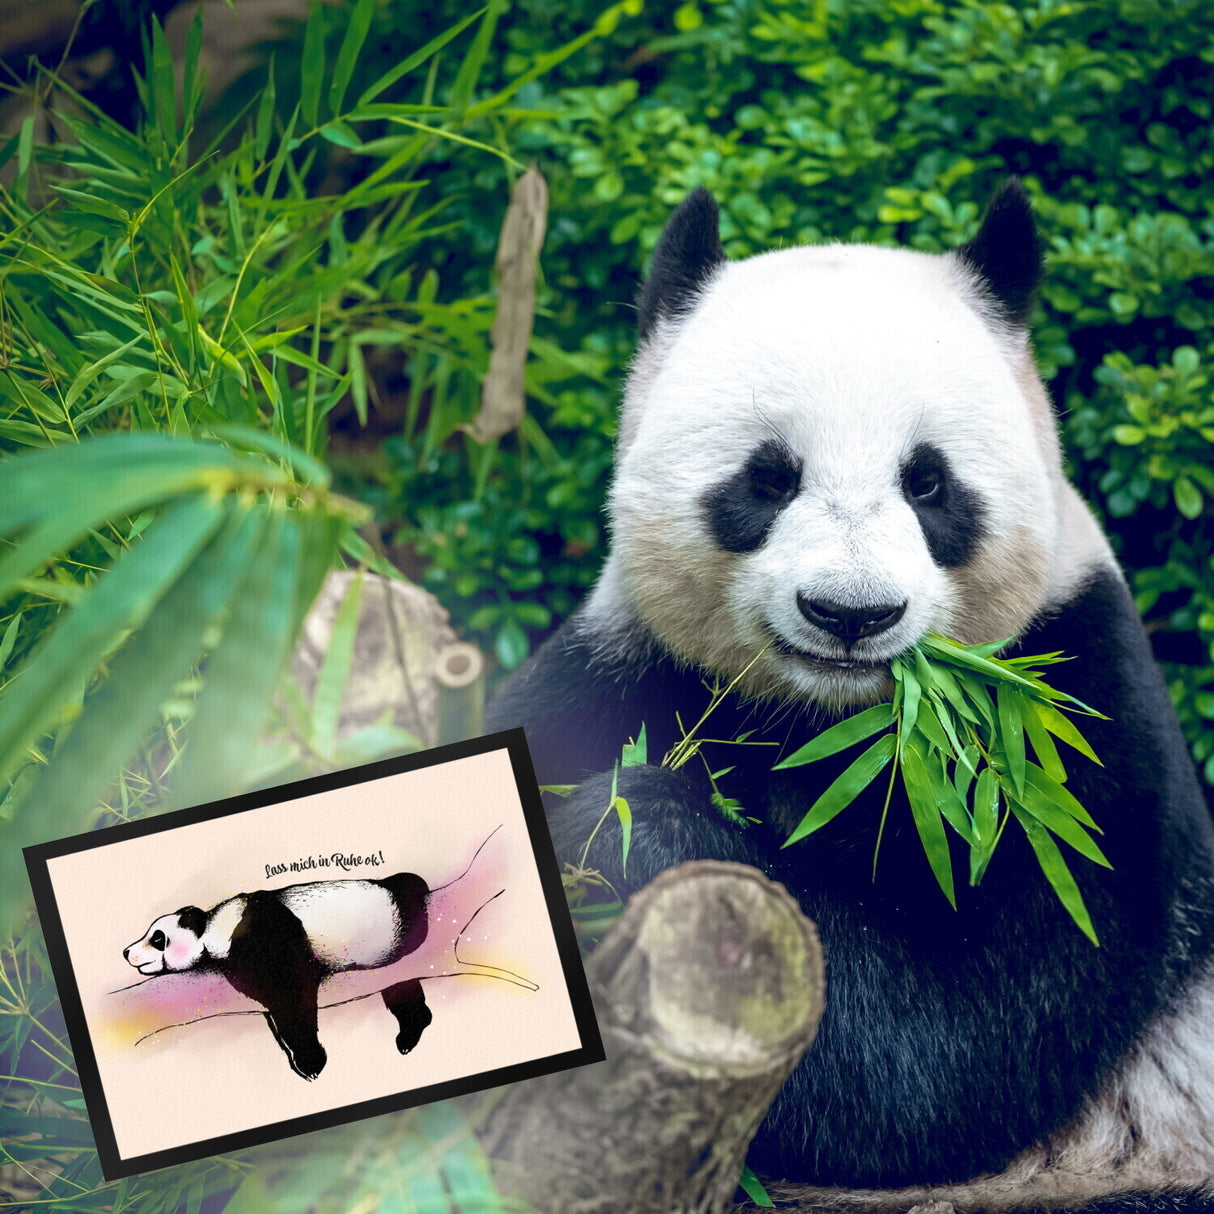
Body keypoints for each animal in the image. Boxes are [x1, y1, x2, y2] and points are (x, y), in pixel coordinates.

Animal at [123, 871, 432, 1080]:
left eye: (157, 938)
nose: (126, 952)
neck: (212, 927)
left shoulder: (262, 927)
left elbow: (288, 987)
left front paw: (311, 1061)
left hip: (392, 920)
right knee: (401, 990)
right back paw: (411, 1030)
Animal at [486, 180, 1214, 1211]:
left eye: (930, 481)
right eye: (768, 476)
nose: (851, 612)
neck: (836, 721)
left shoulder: (1065, 741)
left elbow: (947, 1050)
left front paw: (633, 830)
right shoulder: (622, 669)